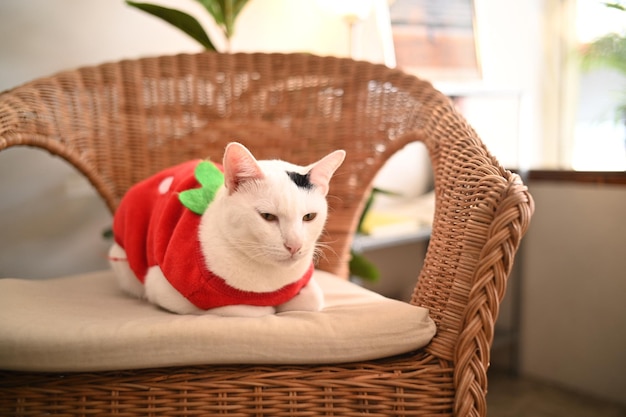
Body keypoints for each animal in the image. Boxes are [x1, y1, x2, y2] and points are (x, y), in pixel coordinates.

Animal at [109, 142, 344, 316]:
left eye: (309, 217)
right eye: (268, 216)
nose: (294, 246)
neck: (268, 280)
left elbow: (313, 300)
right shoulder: (163, 288)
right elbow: (249, 310)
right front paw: (266, 307)